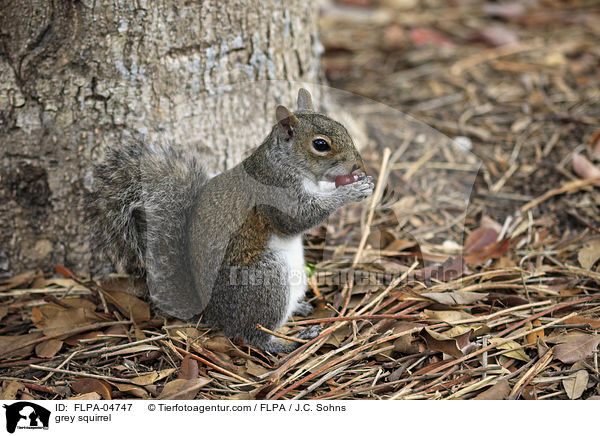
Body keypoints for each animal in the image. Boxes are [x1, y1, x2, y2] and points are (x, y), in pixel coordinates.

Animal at [86, 89, 372, 354]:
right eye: (320, 145)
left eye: (343, 127)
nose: (358, 165)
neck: (285, 163)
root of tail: (211, 313)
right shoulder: (276, 193)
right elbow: (297, 218)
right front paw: (350, 192)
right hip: (264, 279)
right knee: (252, 333)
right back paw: (287, 342)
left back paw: (299, 308)